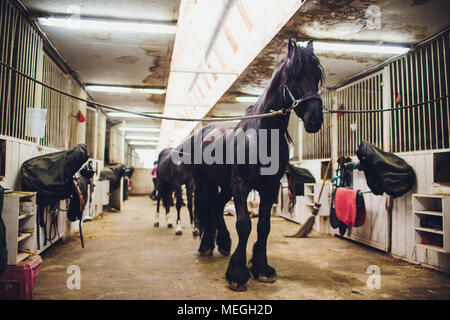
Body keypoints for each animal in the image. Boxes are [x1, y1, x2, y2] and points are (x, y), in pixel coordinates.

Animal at [192, 38, 324, 292]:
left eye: (317, 76)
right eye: (294, 75)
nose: (315, 119)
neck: (262, 134)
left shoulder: (269, 187)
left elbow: (264, 226)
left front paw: (261, 268)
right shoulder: (242, 185)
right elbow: (244, 225)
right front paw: (237, 274)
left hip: (225, 186)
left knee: (217, 206)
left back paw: (223, 243)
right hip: (205, 183)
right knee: (207, 206)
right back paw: (206, 246)